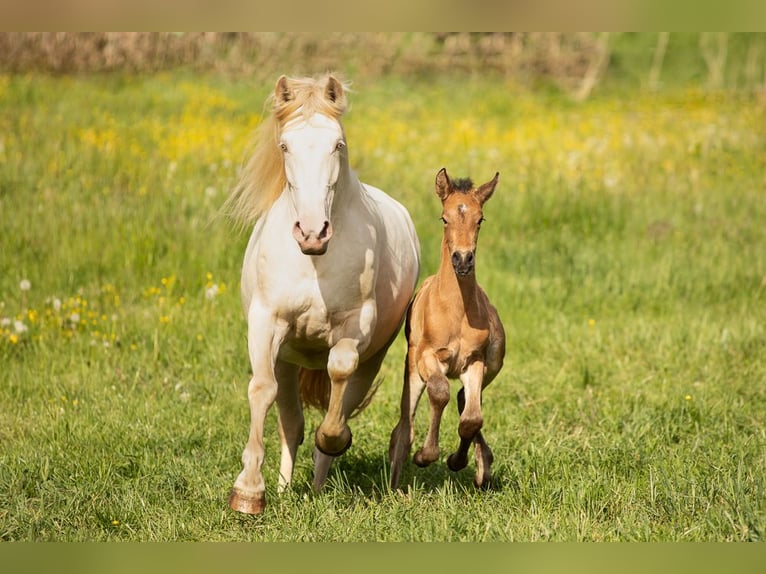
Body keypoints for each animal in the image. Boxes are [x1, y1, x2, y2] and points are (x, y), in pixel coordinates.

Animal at [225, 74, 424, 516]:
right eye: (285, 145)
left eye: (338, 144)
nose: (312, 233)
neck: (314, 263)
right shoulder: (266, 324)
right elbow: (261, 391)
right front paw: (248, 492)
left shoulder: (357, 326)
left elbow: (339, 372)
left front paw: (333, 439)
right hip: (286, 358)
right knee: (291, 423)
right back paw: (284, 489)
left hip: (375, 354)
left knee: (341, 396)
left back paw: (317, 485)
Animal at [390, 166, 510, 490]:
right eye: (444, 218)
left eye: (480, 219)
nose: (463, 260)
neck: (456, 313)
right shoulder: (428, 356)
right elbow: (440, 392)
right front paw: (424, 456)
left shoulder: (475, 361)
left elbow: (471, 418)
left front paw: (458, 461)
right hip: (412, 368)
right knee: (405, 420)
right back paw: (396, 475)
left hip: (494, 364)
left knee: (465, 400)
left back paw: (483, 466)